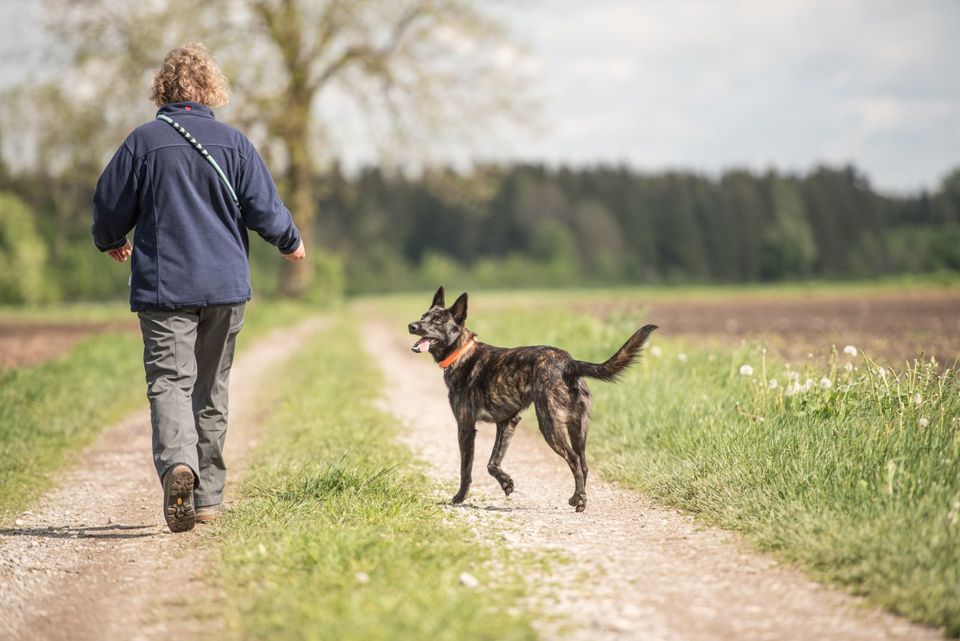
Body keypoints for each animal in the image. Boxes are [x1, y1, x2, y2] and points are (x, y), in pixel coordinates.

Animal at [408, 284, 656, 510]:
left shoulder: (466, 426)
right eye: (423, 316)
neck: (461, 351)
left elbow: (466, 468)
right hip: (578, 429)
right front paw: (506, 483)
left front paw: (459, 498)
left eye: (437, 320)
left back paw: (580, 501)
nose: (412, 326)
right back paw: (578, 496)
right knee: (583, 464)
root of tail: (569, 363)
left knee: (574, 460)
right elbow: (492, 462)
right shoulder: (507, 422)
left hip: (550, 425)